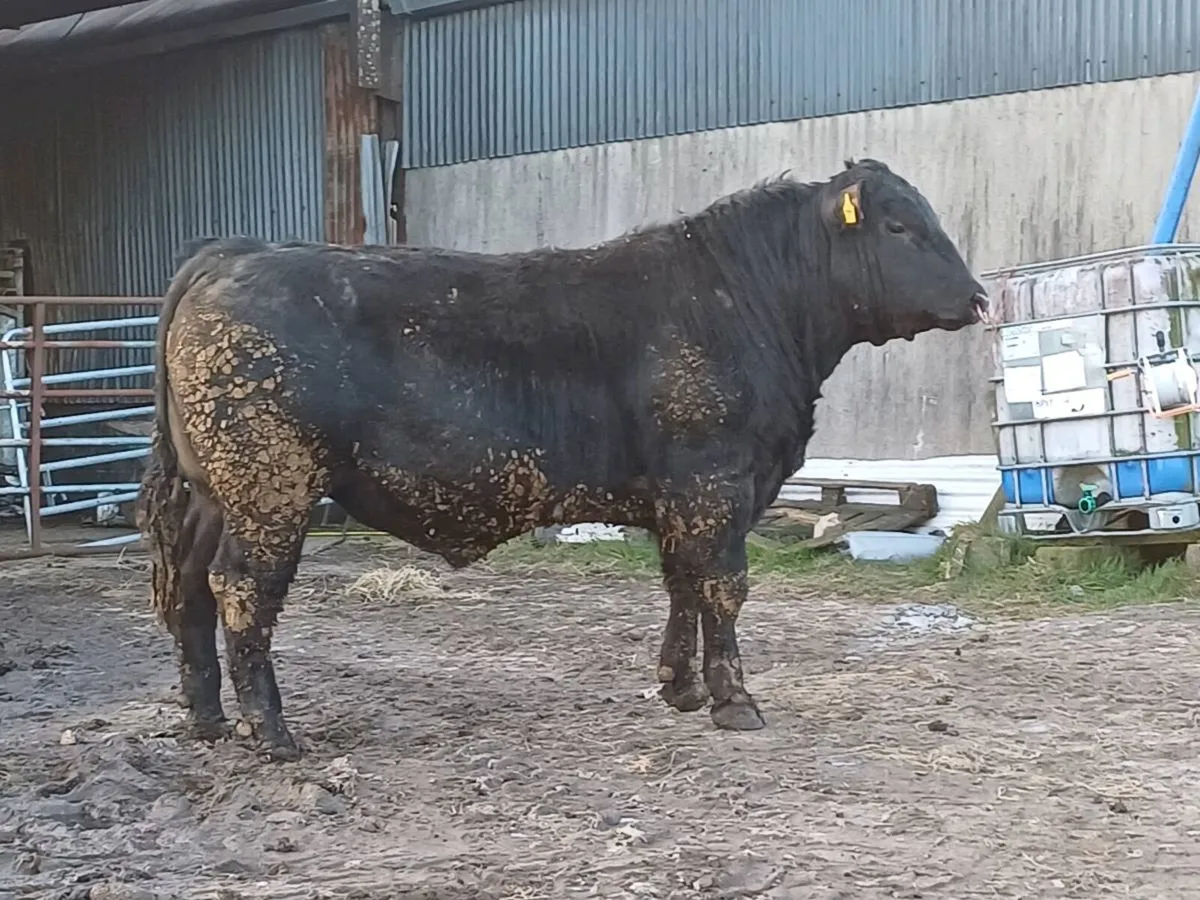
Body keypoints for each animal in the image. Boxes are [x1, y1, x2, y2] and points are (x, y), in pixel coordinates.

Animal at [137, 158, 989, 761]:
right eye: (900, 227)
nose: (980, 297)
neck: (744, 300)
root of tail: (234, 251)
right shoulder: (716, 480)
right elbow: (722, 587)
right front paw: (735, 701)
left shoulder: (680, 496)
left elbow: (682, 584)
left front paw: (679, 687)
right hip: (271, 488)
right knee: (242, 589)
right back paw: (271, 733)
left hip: (215, 493)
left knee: (189, 588)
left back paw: (210, 720)